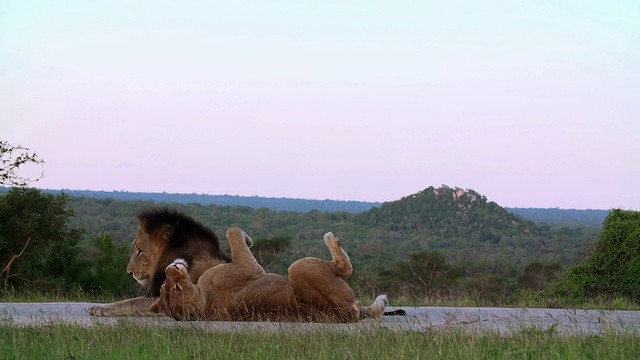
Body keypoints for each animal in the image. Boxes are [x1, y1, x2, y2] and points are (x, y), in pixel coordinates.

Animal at [152, 226, 388, 322]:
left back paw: (382, 301)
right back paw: (331, 238)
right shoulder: (248, 267)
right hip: (298, 268)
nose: (170, 268)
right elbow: (232, 232)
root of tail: (344, 313)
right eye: (176, 287)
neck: (203, 302)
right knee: (344, 267)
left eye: (167, 287)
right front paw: (248, 240)